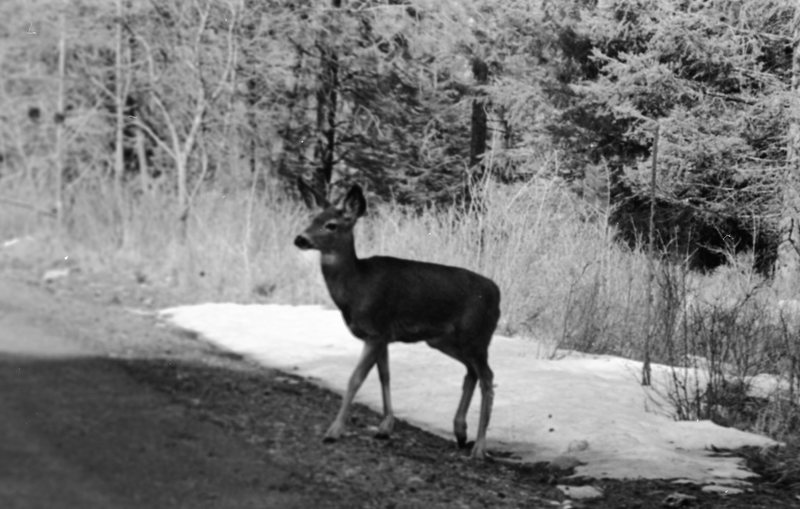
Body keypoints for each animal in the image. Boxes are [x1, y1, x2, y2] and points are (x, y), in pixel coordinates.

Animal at [293, 179, 501, 459]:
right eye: (311, 219)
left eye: (331, 225)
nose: (300, 239)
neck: (357, 286)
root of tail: (497, 293)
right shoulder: (383, 335)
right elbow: (385, 375)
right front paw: (385, 426)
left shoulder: (375, 332)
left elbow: (355, 379)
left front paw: (334, 431)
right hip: (444, 340)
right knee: (472, 372)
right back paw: (460, 431)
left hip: (476, 335)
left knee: (488, 377)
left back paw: (479, 447)